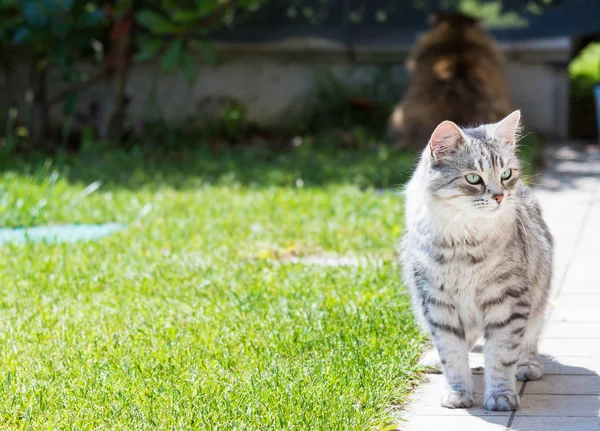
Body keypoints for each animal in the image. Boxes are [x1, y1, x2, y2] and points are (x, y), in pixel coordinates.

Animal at [398, 110, 552, 412]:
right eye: (473, 178)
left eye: (506, 174)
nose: (500, 197)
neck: (465, 244)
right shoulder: (437, 304)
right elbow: (453, 355)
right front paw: (457, 393)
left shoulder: (508, 302)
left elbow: (501, 356)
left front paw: (501, 397)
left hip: (539, 300)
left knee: (530, 340)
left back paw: (528, 367)